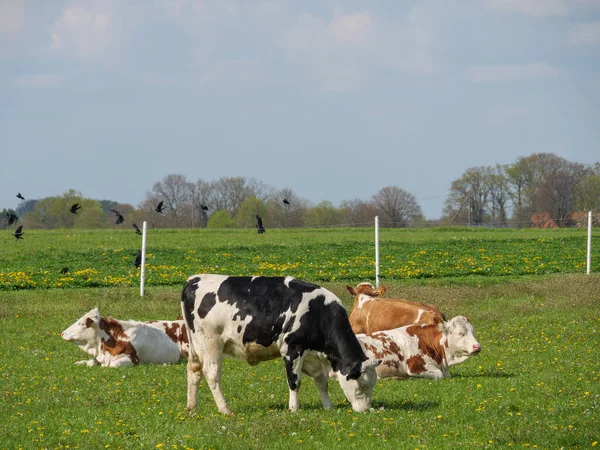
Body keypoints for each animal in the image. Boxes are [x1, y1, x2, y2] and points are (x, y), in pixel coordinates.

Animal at [180, 272, 382, 414]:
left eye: (373, 385)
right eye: (361, 386)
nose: (365, 410)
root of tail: (194, 279)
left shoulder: (312, 356)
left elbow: (321, 382)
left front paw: (328, 406)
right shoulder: (292, 348)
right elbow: (294, 381)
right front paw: (294, 408)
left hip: (196, 345)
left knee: (194, 369)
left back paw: (192, 408)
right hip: (211, 343)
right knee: (212, 373)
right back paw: (225, 409)